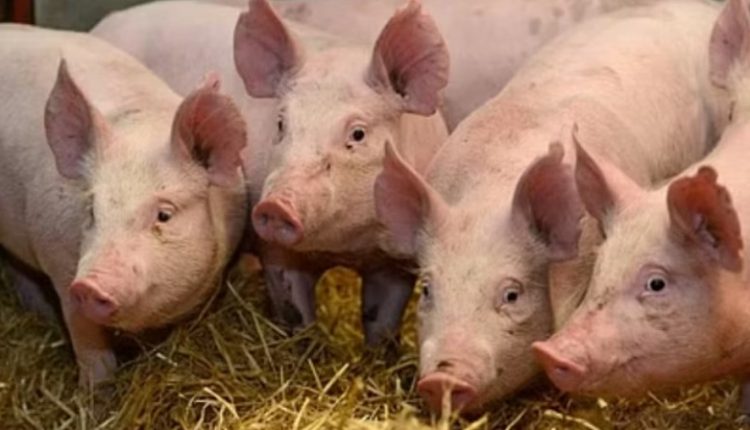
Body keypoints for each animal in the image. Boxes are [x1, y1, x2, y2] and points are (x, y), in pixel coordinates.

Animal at [0, 25, 248, 387]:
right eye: (91, 211)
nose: (90, 284)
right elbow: (88, 343)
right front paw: (97, 394)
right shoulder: (61, 268)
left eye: (164, 215)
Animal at [92, 0, 450, 347]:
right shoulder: (275, 252)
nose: (276, 206)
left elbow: (382, 324)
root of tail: (109, 20)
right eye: (281, 124)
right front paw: (304, 348)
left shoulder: (395, 263)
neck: (348, 246)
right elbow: (296, 315)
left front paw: (380, 356)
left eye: (358, 134)